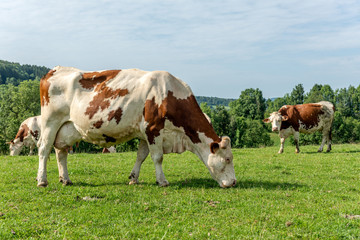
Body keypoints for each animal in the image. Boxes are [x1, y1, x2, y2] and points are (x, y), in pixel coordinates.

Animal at [36, 66, 236, 188]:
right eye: (227, 159)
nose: (234, 182)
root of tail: (54, 70)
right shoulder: (153, 129)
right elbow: (158, 157)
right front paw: (162, 181)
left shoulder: (144, 133)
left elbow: (141, 156)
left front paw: (133, 178)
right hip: (50, 122)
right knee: (44, 149)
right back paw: (42, 180)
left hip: (66, 128)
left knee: (61, 152)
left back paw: (65, 179)